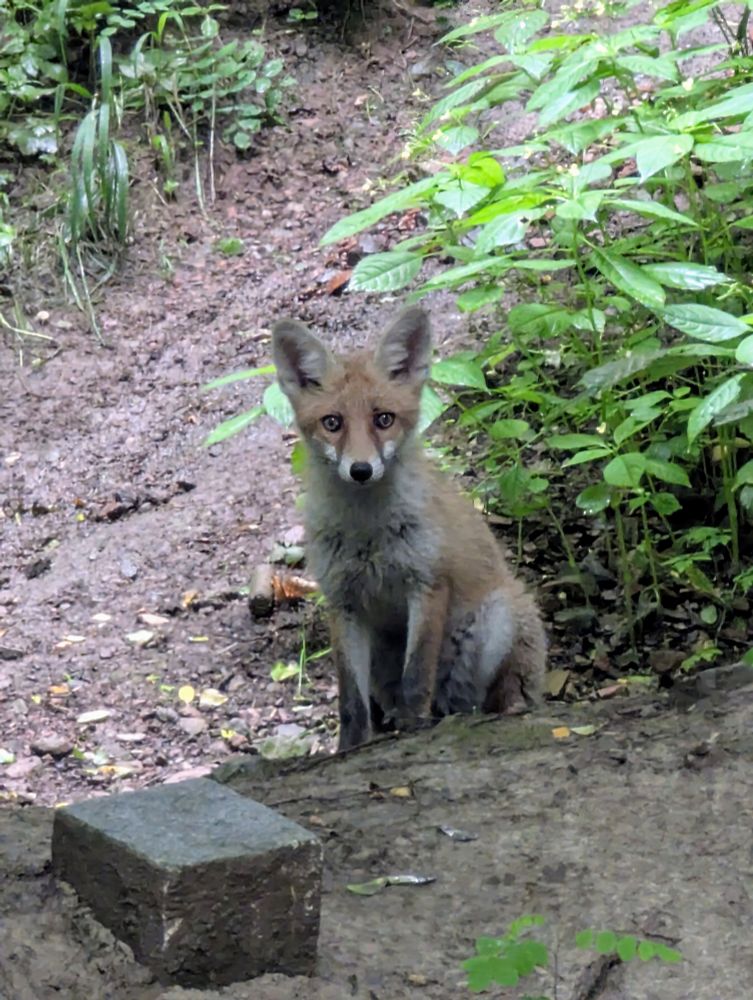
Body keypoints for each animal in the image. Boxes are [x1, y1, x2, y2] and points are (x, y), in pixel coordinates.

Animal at [272, 307, 546, 751]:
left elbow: (416, 677)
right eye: (333, 423)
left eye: (384, 419)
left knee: (488, 699)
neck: (368, 534)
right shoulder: (342, 600)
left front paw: (415, 728)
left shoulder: (427, 583)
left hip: (498, 615)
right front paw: (349, 749)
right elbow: (351, 702)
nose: (361, 470)